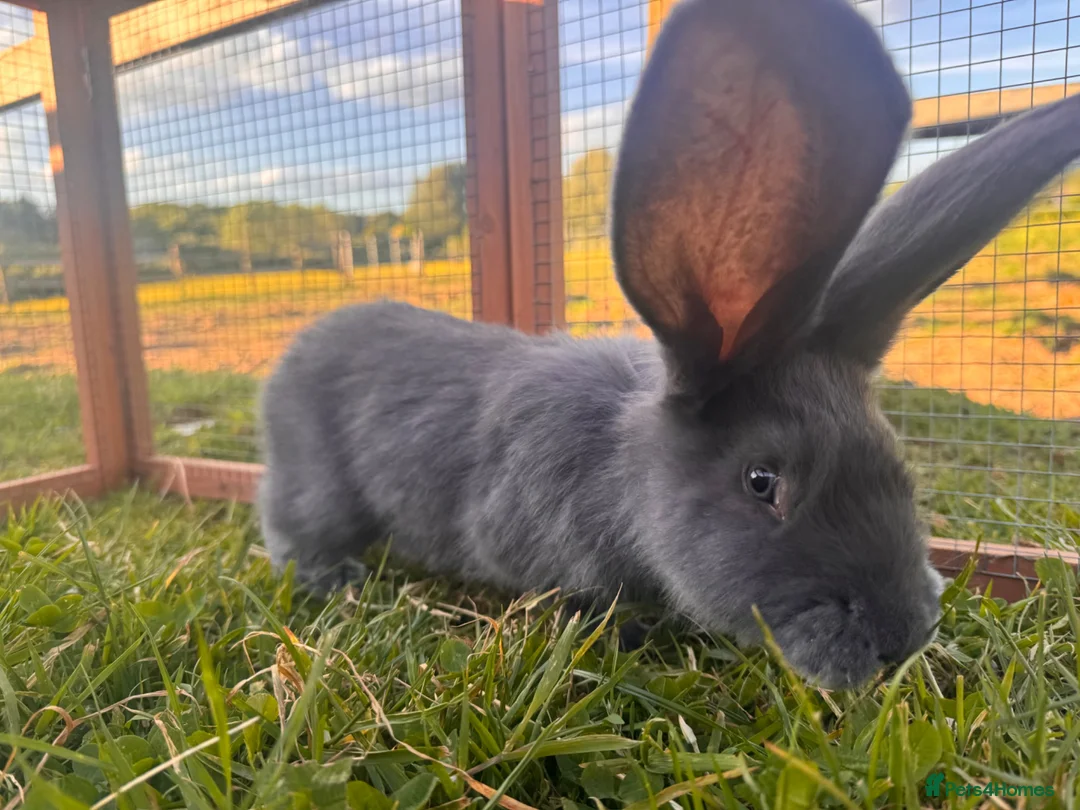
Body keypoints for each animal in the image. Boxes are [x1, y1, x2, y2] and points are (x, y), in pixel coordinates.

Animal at [257, 0, 1080, 689]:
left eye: (895, 461)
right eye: (761, 481)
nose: (901, 640)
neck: (618, 469)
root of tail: (294, 355)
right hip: (316, 484)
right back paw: (334, 579)